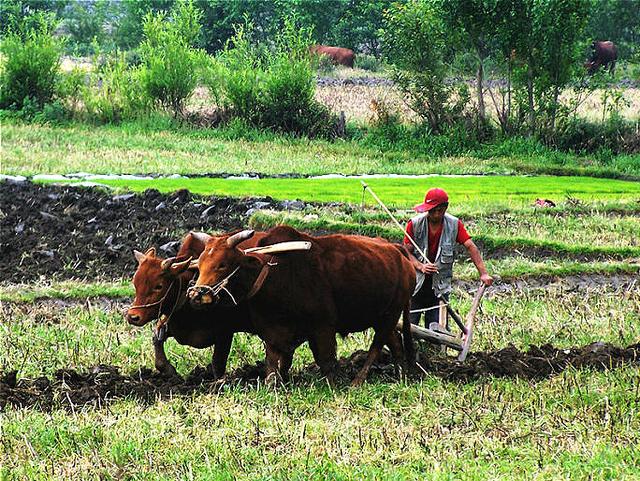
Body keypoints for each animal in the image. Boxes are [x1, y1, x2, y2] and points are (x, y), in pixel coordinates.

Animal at [125, 231, 264, 376]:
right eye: (135, 283)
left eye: (159, 286)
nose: (133, 317)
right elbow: (157, 344)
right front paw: (170, 370)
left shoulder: (225, 332)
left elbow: (217, 365)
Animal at [188, 225, 416, 386]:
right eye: (199, 264)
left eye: (222, 264)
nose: (197, 294)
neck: (274, 274)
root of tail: (398, 251)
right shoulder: (273, 330)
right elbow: (273, 362)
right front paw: (274, 384)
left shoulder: (323, 326)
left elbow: (326, 360)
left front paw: (334, 385)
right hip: (381, 317)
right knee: (395, 342)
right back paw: (402, 375)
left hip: (390, 315)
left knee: (377, 346)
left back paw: (358, 381)